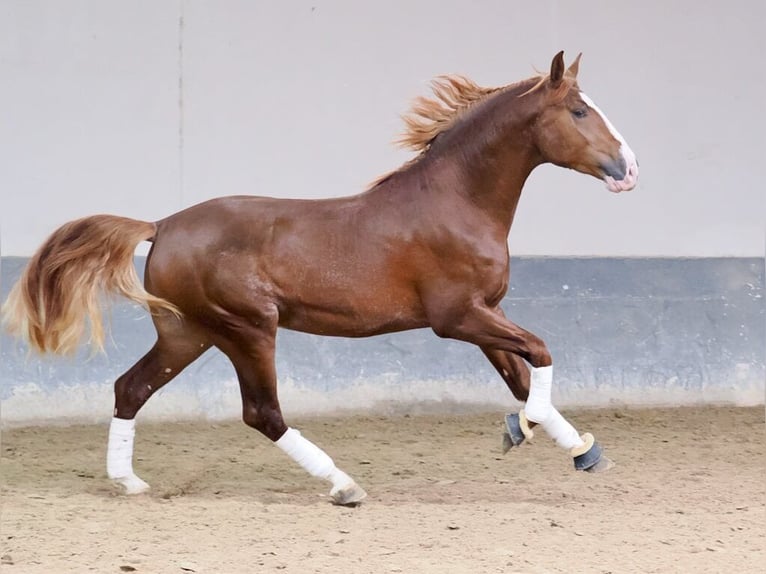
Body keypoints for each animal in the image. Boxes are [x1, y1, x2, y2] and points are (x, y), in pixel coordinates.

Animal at [1, 51, 636, 506]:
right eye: (580, 111)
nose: (628, 170)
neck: (456, 201)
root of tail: (160, 226)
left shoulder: (485, 313)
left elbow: (521, 377)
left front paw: (577, 448)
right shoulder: (456, 318)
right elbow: (541, 353)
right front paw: (527, 430)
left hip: (189, 333)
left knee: (130, 388)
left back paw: (128, 483)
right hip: (248, 328)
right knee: (262, 413)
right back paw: (343, 485)